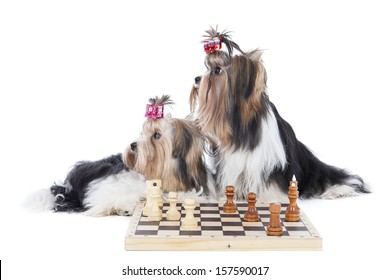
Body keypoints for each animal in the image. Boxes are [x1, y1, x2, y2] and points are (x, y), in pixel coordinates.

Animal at [190, 26, 370, 201]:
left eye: (217, 70)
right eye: (207, 68)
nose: (196, 79)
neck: (242, 127)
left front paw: (269, 198)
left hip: (312, 171)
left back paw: (337, 191)